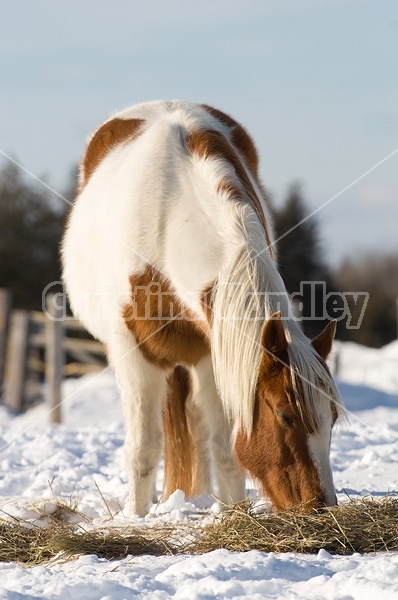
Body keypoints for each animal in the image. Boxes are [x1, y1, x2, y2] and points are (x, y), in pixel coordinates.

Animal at [62, 102, 342, 516]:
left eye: (333, 417)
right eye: (286, 414)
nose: (321, 506)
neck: (167, 221)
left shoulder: (215, 352)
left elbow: (226, 449)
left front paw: (232, 513)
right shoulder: (133, 351)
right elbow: (143, 450)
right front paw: (137, 517)